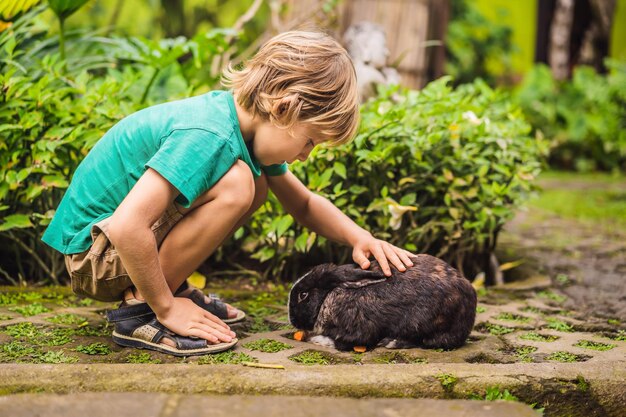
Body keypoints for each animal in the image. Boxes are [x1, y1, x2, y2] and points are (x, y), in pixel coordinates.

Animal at [288, 254, 478, 352]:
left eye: (303, 295)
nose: (292, 320)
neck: (330, 296)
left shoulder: (359, 332)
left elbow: (344, 343)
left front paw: (318, 340)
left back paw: (391, 342)